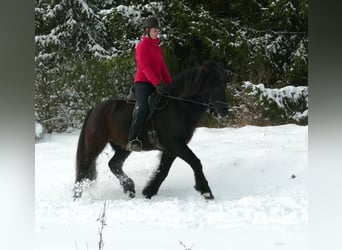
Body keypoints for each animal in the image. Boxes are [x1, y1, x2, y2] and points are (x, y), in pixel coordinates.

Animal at [74, 59, 228, 200]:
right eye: (214, 86)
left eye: (224, 84)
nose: (224, 112)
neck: (178, 108)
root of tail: (94, 109)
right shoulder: (175, 145)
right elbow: (195, 162)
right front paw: (206, 192)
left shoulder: (171, 149)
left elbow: (163, 171)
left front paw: (149, 192)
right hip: (95, 144)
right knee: (85, 166)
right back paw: (77, 195)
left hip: (123, 147)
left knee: (114, 164)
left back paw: (129, 188)